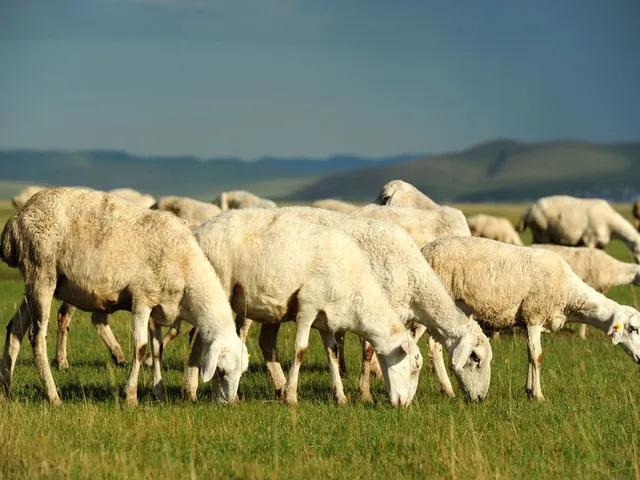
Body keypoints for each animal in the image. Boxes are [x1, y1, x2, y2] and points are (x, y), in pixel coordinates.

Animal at [0, 187, 248, 406]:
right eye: (221, 371)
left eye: (242, 373)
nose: (229, 402)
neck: (187, 272)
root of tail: (16, 220)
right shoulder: (142, 300)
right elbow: (140, 348)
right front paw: (130, 396)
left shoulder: (157, 308)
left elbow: (157, 350)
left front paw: (160, 394)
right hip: (42, 272)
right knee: (36, 336)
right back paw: (53, 396)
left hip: (34, 282)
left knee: (15, 329)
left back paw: (5, 391)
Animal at [186, 208, 426, 407]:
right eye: (415, 367)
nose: (404, 405)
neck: (353, 288)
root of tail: (199, 231)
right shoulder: (307, 308)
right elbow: (300, 350)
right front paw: (292, 397)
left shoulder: (328, 320)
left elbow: (333, 354)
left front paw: (340, 397)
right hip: (215, 286)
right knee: (199, 338)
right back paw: (193, 389)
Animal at [213, 207, 492, 403]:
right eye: (475, 358)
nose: (480, 399)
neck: (413, 281)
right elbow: (369, 352)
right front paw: (365, 393)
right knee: (243, 334)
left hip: (277, 308)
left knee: (267, 341)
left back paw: (281, 387)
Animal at [422, 236, 640, 401]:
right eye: (633, 328)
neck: (568, 293)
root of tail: (426, 249)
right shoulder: (535, 314)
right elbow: (537, 356)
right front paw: (538, 395)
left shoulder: (529, 321)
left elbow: (529, 353)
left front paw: (528, 390)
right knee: (432, 347)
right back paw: (448, 390)